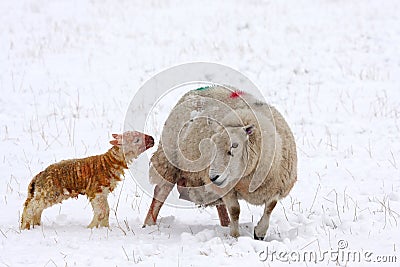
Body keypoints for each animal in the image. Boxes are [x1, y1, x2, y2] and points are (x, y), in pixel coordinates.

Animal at [19, 131, 155, 230]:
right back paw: (24, 226)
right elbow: (101, 211)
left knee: (36, 207)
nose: (152, 139)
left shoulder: (103, 193)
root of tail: (39, 176)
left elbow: (106, 211)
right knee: (31, 206)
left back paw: (35, 224)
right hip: (50, 191)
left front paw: (105, 228)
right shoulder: (96, 191)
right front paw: (91, 227)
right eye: (137, 140)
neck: (109, 163)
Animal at [142, 86, 296, 241]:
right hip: (170, 161)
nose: (213, 177)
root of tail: (194, 90)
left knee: (219, 204)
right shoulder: (228, 188)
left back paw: (225, 224)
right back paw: (149, 224)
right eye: (213, 145)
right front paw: (235, 236)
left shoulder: (277, 186)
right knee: (160, 192)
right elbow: (235, 210)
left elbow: (270, 207)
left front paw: (259, 233)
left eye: (235, 145)